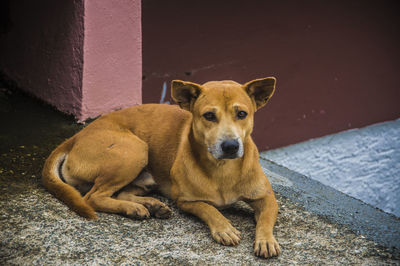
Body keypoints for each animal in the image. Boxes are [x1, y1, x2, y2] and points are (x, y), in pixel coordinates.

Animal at [42, 77, 282, 258]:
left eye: (242, 114)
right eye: (209, 116)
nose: (231, 146)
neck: (223, 169)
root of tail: (75, 137)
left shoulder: (266, 197)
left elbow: (266, 218)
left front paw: (266, 241)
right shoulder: (186, 201)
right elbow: (209, 209)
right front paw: (224, 227)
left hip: (144, 175)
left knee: (121, 193)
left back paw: (146, 206)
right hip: (135, 150)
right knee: (93, 197)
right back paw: (134, 207)